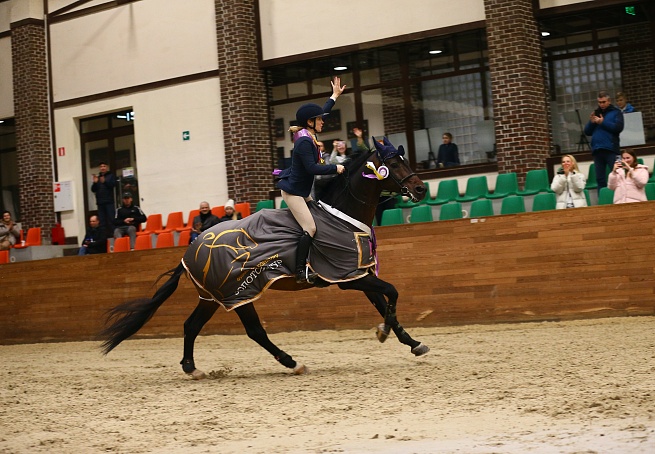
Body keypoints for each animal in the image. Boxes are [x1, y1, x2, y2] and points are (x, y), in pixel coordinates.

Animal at [100, 137, 430, 378]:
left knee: (191, 326)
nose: (420, 188)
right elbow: (392, 293)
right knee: (254, 330)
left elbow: (384, 302)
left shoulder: (358, 273)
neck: (342, 215)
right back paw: (292, 363)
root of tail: (191, 248)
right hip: (239, 291)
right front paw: (384, 333)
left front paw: (412, 343)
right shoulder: (347, 277)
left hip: (212, 296)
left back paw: (192, 369)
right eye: (393, 163)